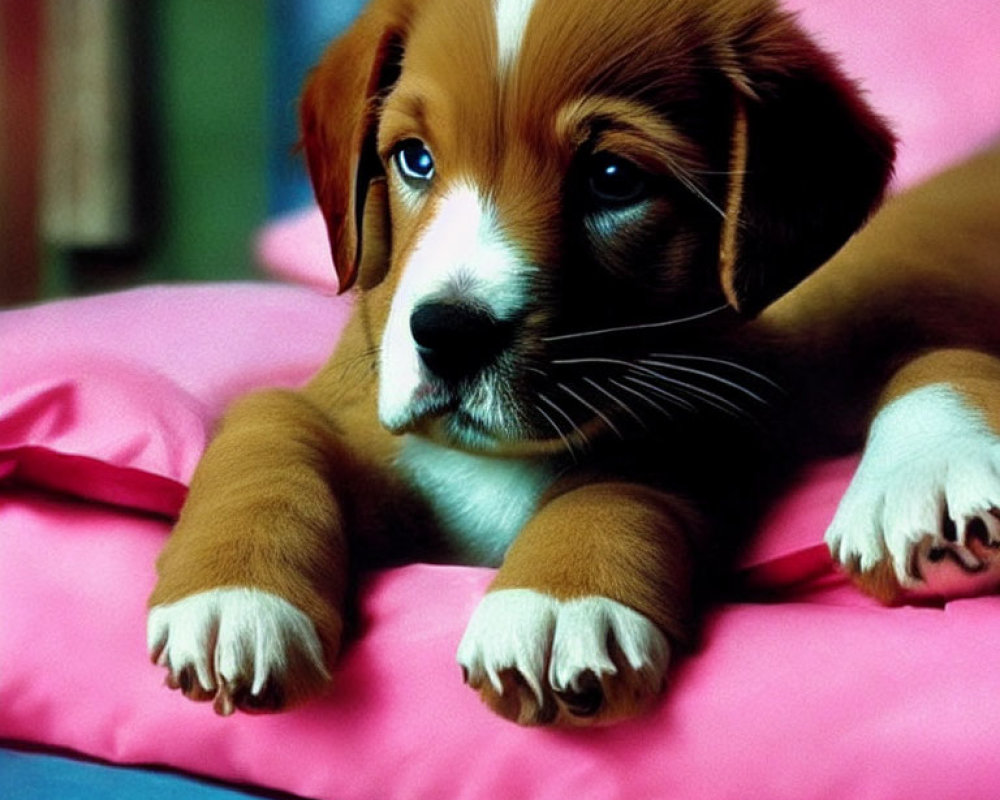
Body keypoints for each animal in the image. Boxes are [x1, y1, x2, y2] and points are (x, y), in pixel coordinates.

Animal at [145, 0, 1000, 724]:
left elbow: (620, 478)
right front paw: (234, 591)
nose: (449, 334)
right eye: (414, 159)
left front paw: (560, 599)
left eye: (613, 178)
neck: (495, 460)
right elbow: (268, 428)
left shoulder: (710, 418)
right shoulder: (342, 400)